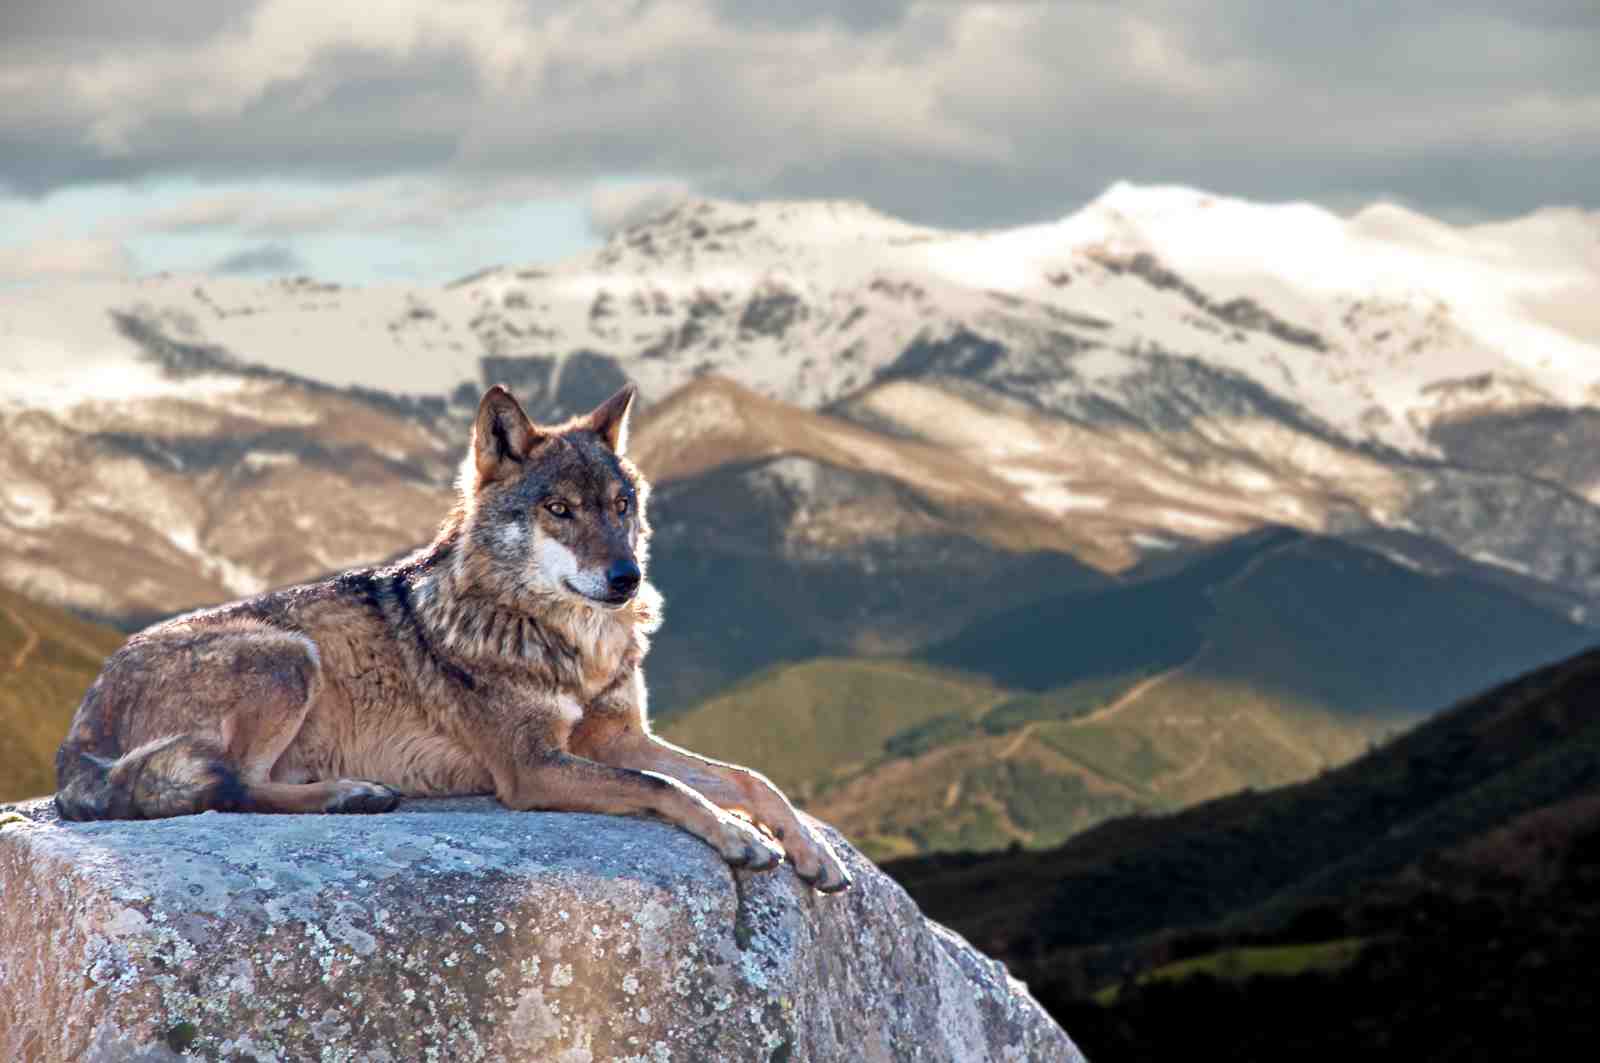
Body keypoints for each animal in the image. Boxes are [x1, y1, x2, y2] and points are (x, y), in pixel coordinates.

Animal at [54, 383, 851, 892]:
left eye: (621, 505)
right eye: (559, 509)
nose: (626, 578)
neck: (567, 642)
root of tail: (77, 729)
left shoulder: (617, 737)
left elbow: (747, 777)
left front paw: (811, 852)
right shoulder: (533, 768)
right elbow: (665, 787)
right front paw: (739, 837)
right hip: (287, 657)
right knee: (234, 788)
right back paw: (350, 795)